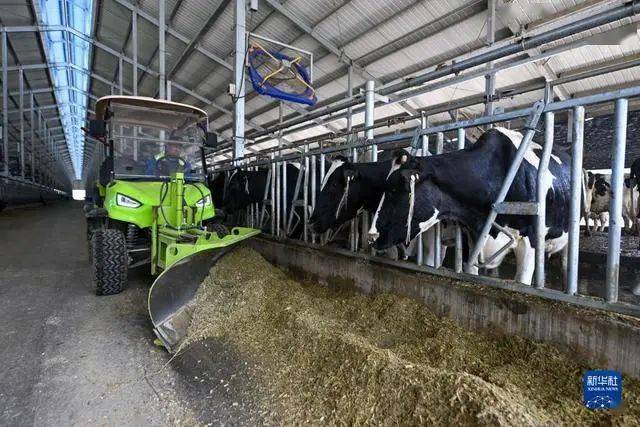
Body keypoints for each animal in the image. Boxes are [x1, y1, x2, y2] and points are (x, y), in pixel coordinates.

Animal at [368, 129, 572, 286]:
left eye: (396, 189)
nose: (372, 235)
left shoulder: (531, 240)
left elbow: (522, 281)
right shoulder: (472, 237)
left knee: (566, 261)